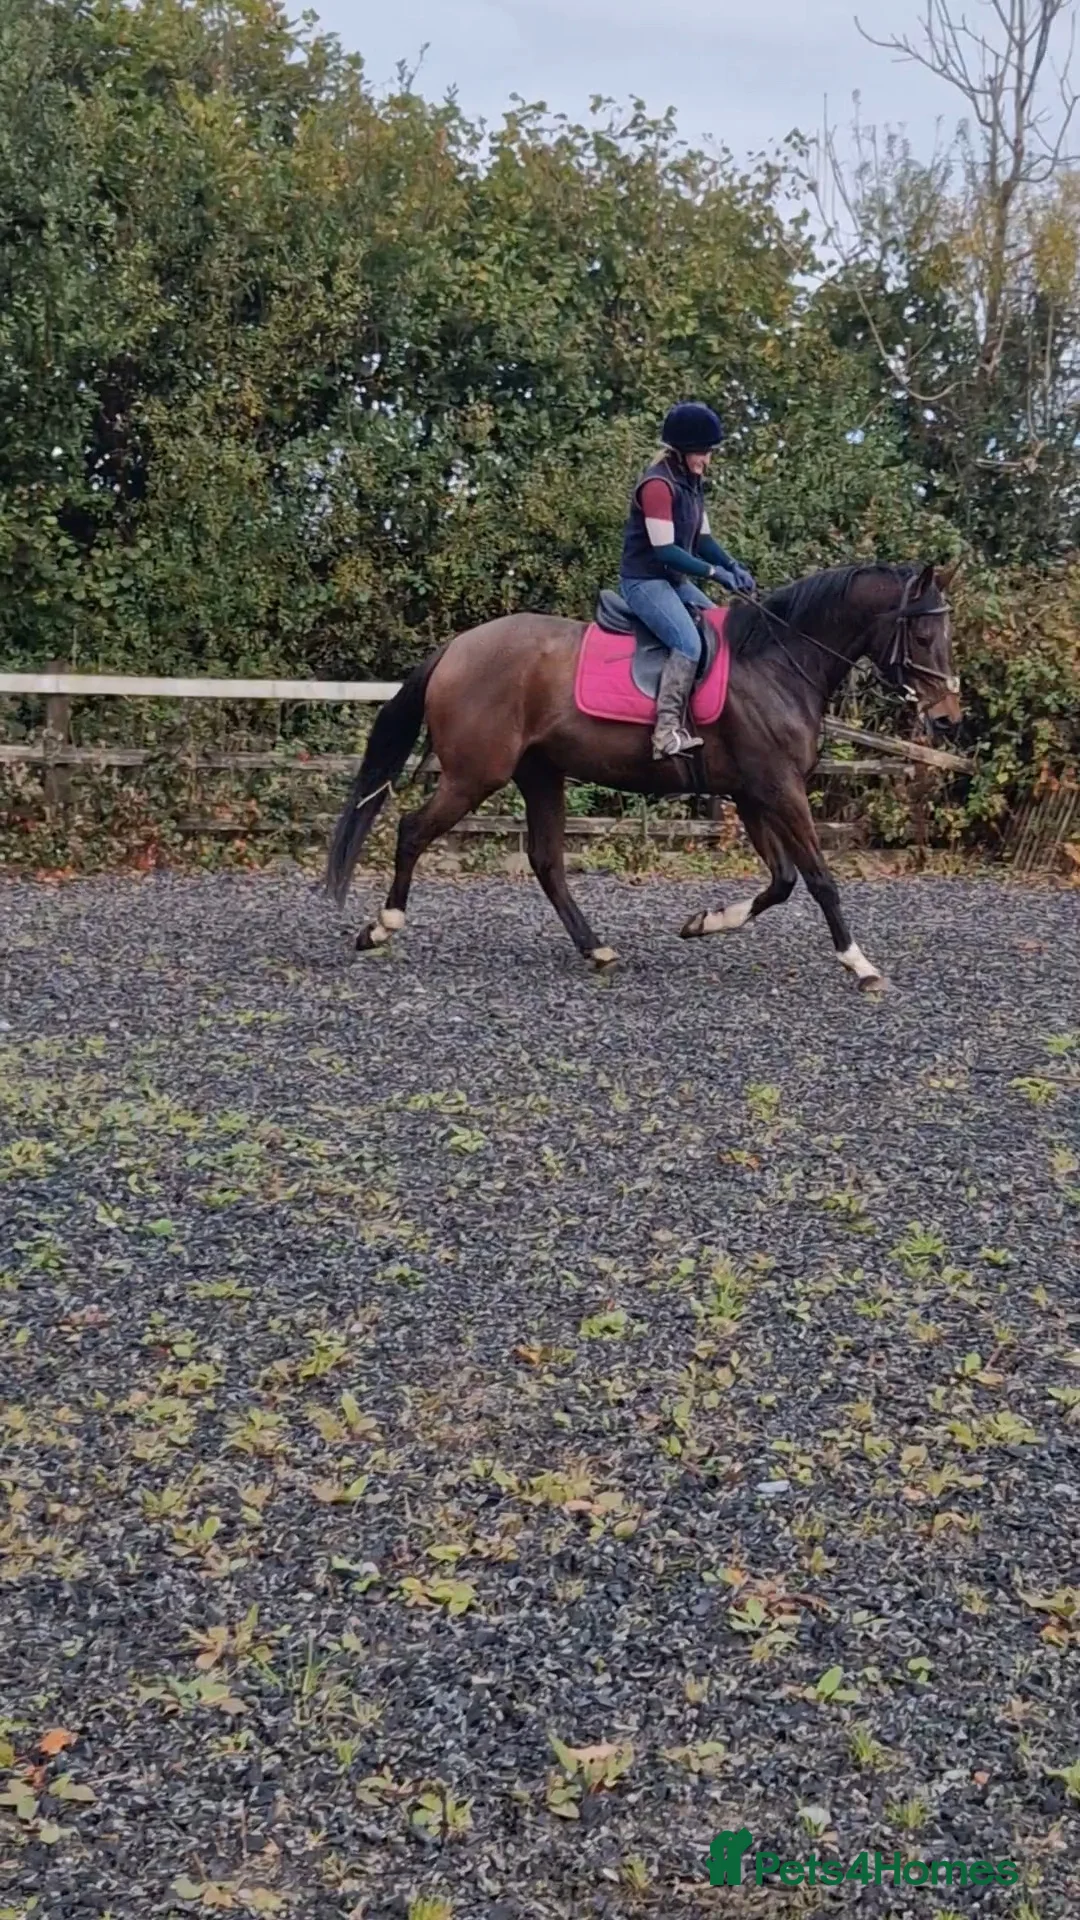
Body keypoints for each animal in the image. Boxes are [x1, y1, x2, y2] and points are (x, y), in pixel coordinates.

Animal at [325, 560, 962, 990]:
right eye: (924, 635)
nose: (948, 718)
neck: (776, 663)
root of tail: (457, 647)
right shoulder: (779, 790)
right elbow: (820, 878)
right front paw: (859, 963)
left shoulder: (752, 794)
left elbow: (782, 881)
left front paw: (703, 922)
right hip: (475, 774)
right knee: (412, 830)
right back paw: (381, 926)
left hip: (540, 774)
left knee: (547, 862)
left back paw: (596, 949)